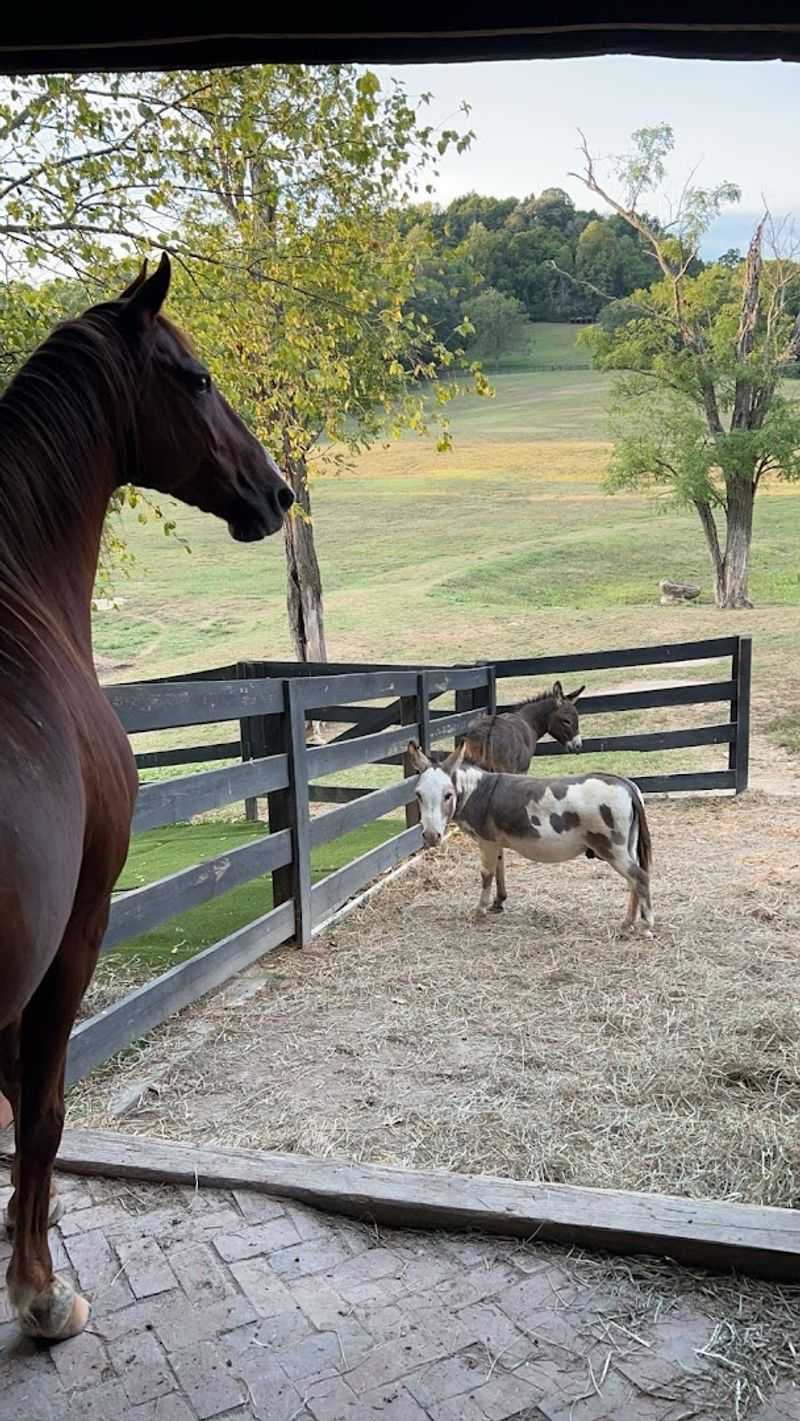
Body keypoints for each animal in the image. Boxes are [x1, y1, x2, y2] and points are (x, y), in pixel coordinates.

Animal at [408, 741, 654, 931]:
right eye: (418, 795)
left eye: (448, 795)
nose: (430, 836)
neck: (476, 791)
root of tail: (626, 785)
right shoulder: (497, 842)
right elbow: (500, 868)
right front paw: (498, 903)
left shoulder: (487, 841)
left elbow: (486, 874)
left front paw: (480, 909)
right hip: (627, 846)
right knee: (633, 881)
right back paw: (628, 923)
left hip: (612, 847)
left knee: (640, 877)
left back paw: (646, 925)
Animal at [427, 681, 585, 912]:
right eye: (566, 720)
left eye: (576, 718)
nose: (578, 746)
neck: (528, 722)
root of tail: (488, 732)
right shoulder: (520, 774)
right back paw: (499, 898)